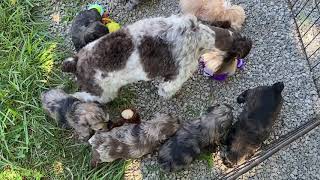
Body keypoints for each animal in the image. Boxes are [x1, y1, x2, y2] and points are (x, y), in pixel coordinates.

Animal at [62, 14, 252, 103]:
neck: (201, 35)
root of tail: (75, 63)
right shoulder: (177, 76)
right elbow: (167, 89)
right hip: (104, 92)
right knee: (88, 97)